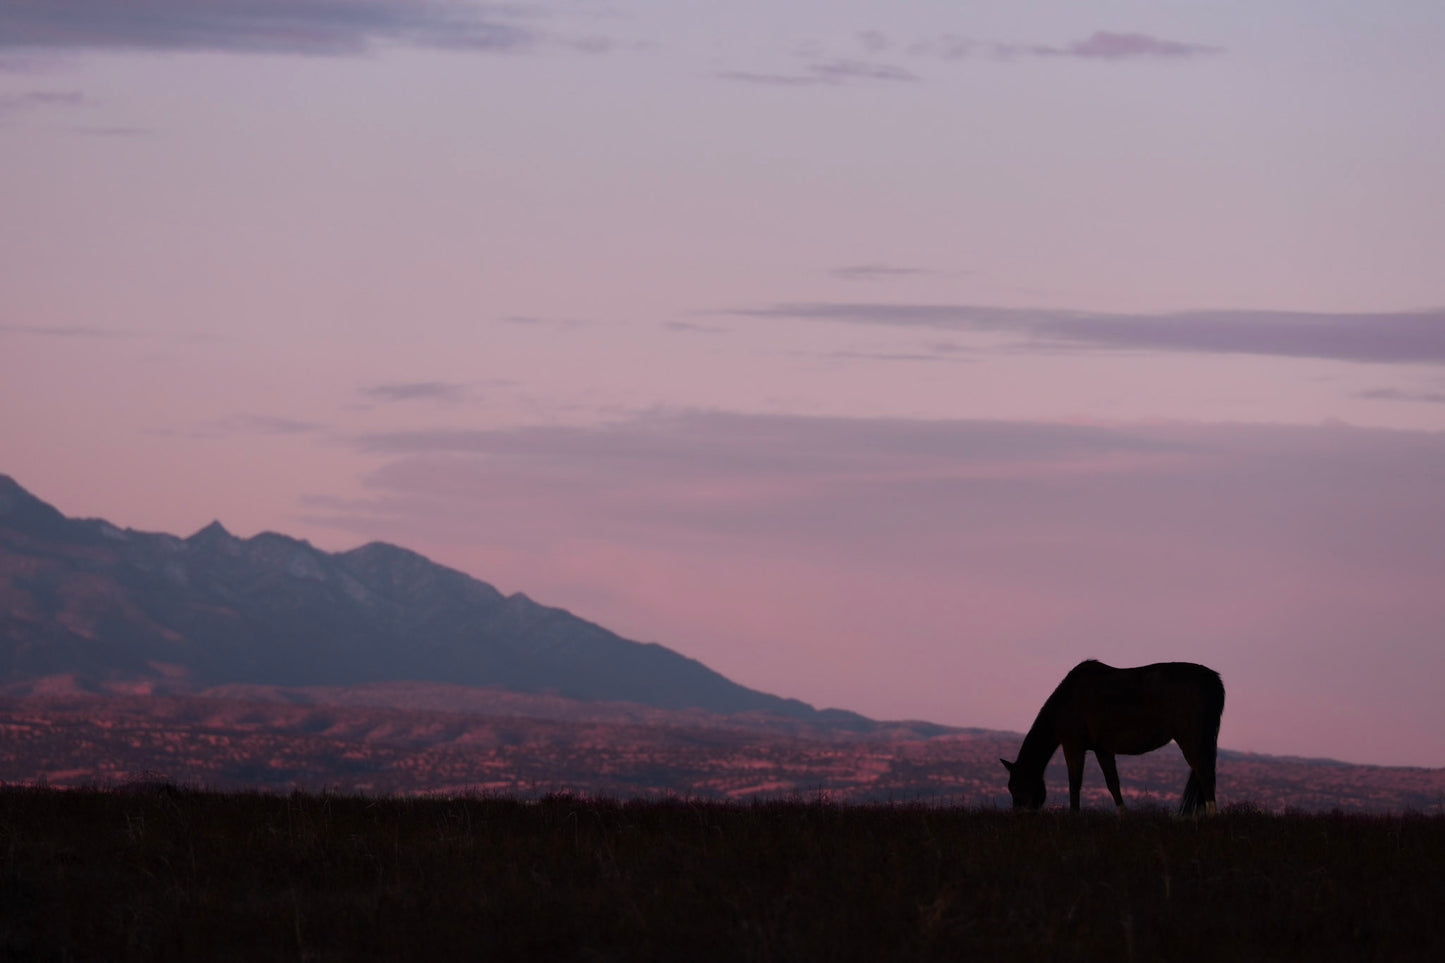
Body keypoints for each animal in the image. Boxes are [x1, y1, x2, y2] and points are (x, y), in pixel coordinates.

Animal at [1000, 659, 1225, 816]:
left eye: (1016, 786)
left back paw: (1211, 816)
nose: (1018, 814)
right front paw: (1123, 815)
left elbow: (1074, 782)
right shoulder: (1103, 750)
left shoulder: (1072, 746)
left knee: (1204, 772)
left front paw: (1074, 814)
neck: (1067, 701)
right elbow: (1112, 783)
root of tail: (1211, 678)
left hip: (1190, 739)